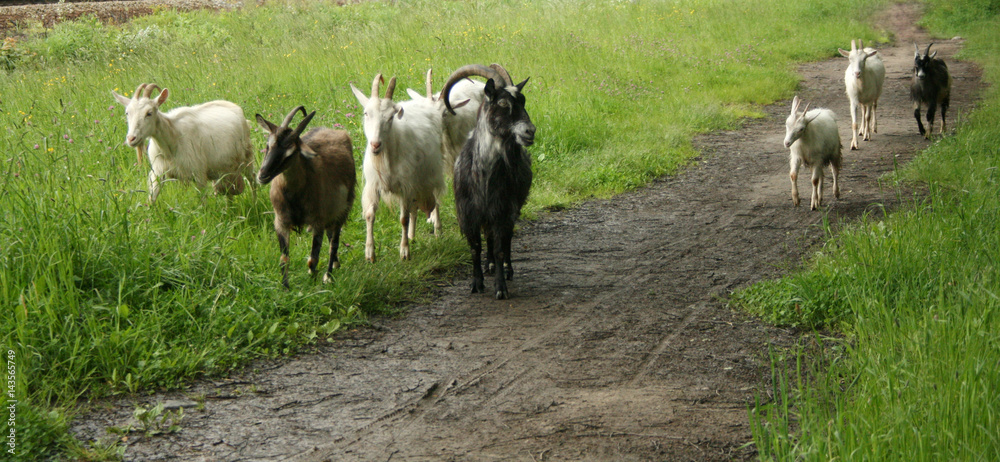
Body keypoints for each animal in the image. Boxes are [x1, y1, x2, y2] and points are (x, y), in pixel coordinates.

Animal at [111, 83, 255, 203]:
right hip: (223, 170)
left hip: (247, 158)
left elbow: (202, 202)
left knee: (252, 180)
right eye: (127, 113)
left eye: (149, 113)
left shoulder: (199, 174)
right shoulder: (157, 173)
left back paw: (254, 204)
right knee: (227, 192)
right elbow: (152, 199)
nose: (131, 138)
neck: (171, 142)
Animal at [255, 106, 356, 288]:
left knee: (334, 242)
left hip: (344, 207)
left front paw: (313, 281)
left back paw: (329, 275)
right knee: (331, 235)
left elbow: (313, 260)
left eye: (290, 153)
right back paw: (335, 265)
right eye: (268, 145)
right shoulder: (281, 221)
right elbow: (284, 258)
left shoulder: (317, 221)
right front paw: (285, 288)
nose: (263, 175)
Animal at [350, 74, 445, 262]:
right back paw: (412, 236)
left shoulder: (405, 187)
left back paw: (437, 229)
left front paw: (404, 252)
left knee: (436, 201)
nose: (375, 144)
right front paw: (370, 253)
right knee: (415, 209)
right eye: (366, 113)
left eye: (390, 117)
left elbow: (403, 218)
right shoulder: (373, 185)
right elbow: (370, 215)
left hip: (432, 174)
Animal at [442, 64, 535, 300]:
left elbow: (501, 247)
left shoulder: (502, 209)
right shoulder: (467, 212)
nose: (530, 131)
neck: (483, 176)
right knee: (489, 237)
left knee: (505, 239)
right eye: (502, 103)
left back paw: (506, 269)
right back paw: (489, 265)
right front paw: (476, 283)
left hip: (512, 208)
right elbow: (475, 247)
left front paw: (500, 288)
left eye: (523, 101)